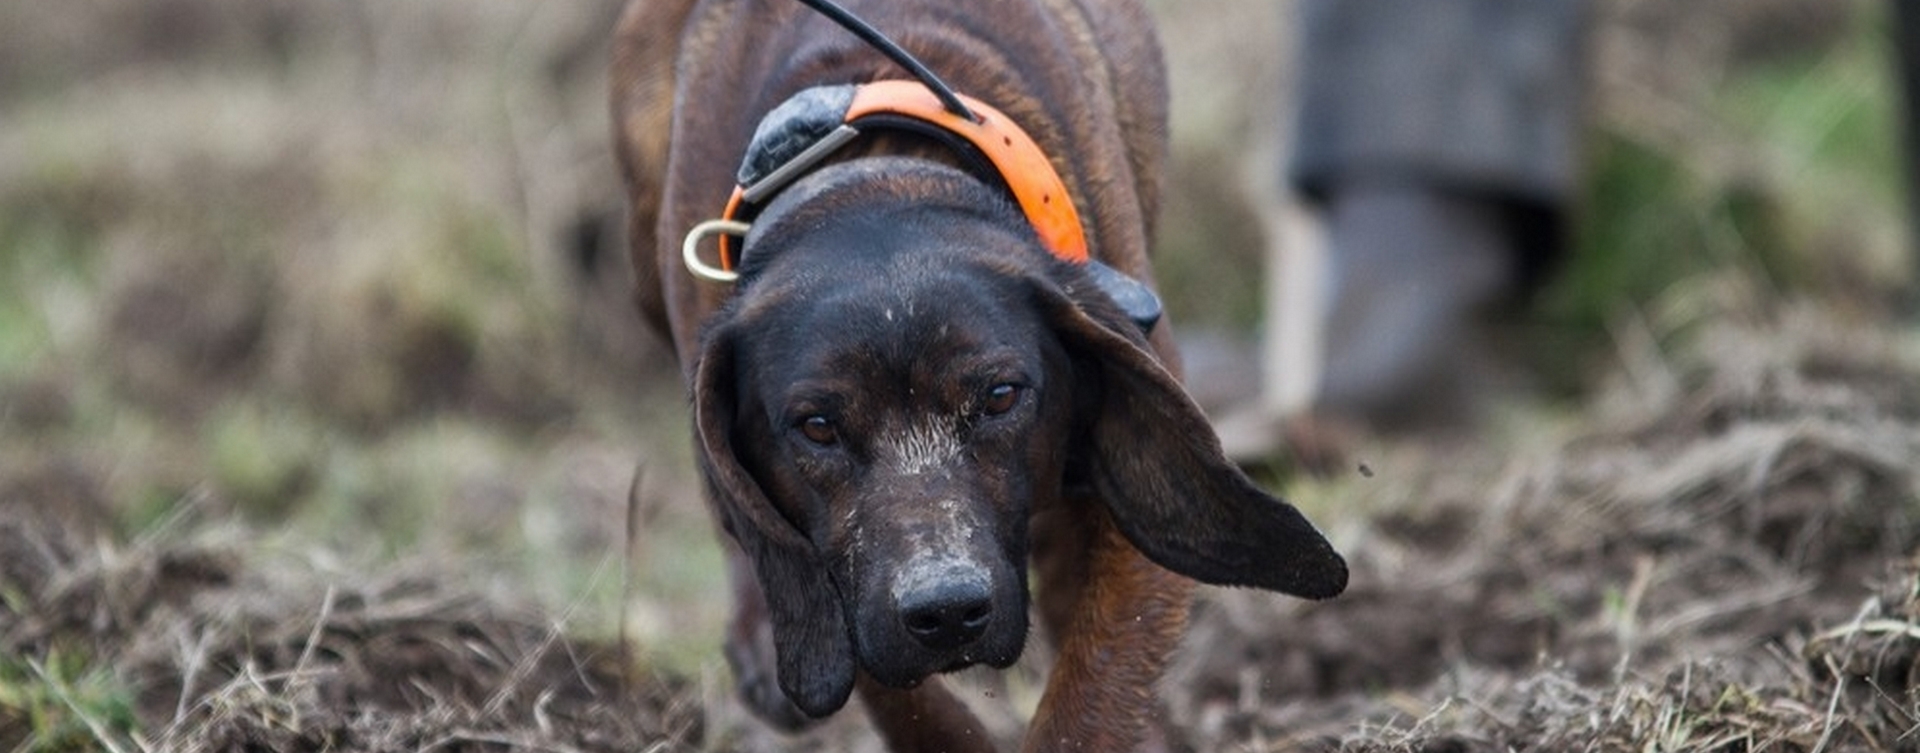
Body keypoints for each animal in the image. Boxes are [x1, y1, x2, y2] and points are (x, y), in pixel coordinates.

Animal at [606, 2, 1344, 749]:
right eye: (816, 427)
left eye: (1000, 396)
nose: (947, 610)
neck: (875, 175)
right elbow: (888, 679)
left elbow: (1092, 693)